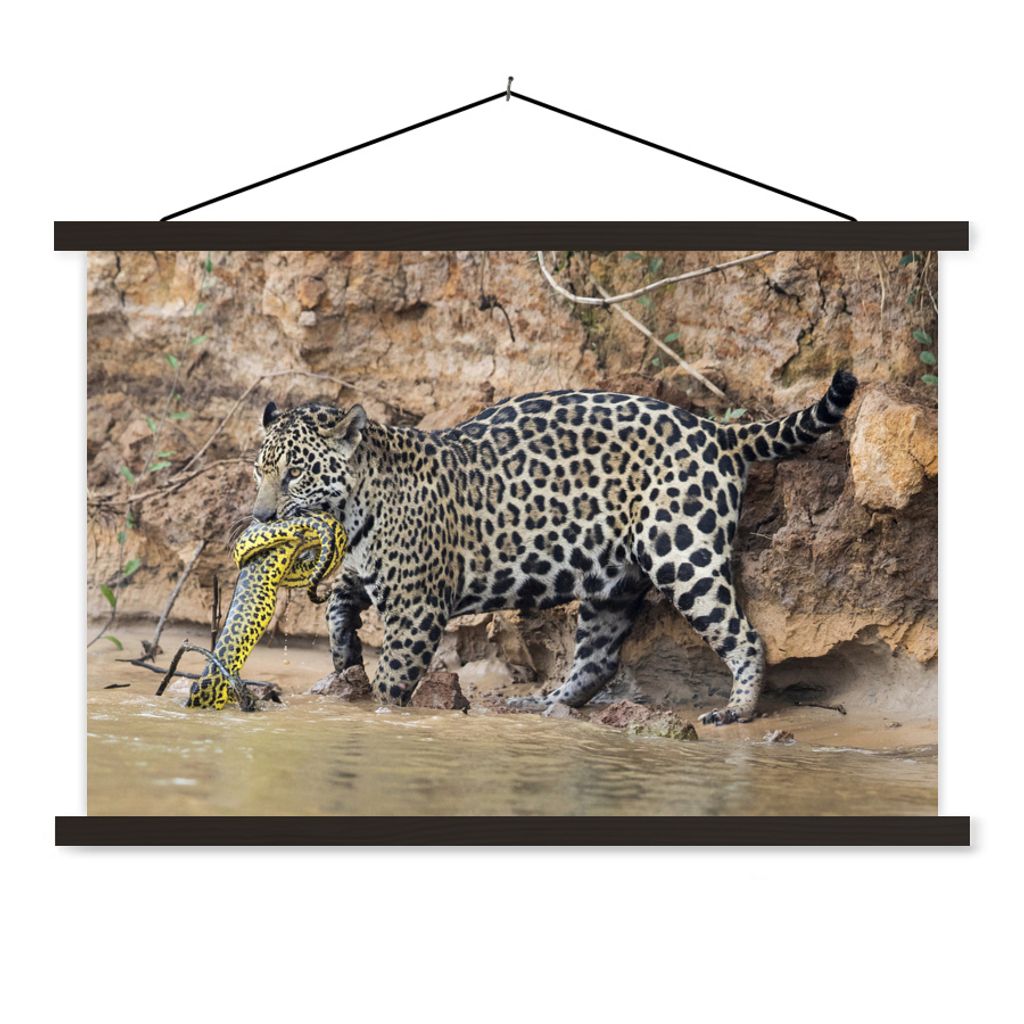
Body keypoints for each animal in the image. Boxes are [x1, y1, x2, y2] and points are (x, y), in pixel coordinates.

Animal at [252, 369, 858, 724]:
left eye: (294, 474)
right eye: (260, 470)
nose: (260, 516)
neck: (356, 503)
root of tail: (719, 431)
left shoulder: (416, 605)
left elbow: (396, 674)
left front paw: (378, 708)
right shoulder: (372, 573)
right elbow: (338, 601)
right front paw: (343, 658)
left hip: (681, 554)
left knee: (745, 636)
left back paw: (736, 710)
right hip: (613, 581)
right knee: (598, 659)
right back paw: (545, 704)